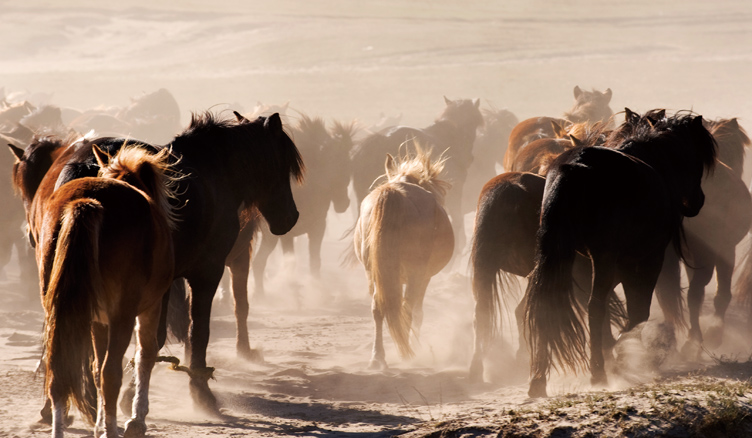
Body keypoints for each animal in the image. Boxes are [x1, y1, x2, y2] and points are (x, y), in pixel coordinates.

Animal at [11, 142, 176, 436]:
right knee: (112, 374)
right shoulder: (148, 308)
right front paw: (136, 419)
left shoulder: (97, 320)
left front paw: (101, 424)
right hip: (123, 315)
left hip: (61, 309)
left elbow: (96, 369)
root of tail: (87, 202)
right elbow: (144, 355)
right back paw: (111, 429)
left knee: (62, 373)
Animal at [356, 145, 456, 370]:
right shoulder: (424, 276)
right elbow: (418, 312)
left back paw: (378, 357)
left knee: (378, 308)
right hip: (415, 273)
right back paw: (408, 354)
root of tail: (393, 193)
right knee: (408, 307)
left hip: (374, 272)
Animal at [524, 109, 716, 396]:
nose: (698, 201)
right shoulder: (647, 258)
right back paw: (598, 371)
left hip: (561, 256)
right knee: (595, 306)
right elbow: (638, 312)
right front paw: (618, 350)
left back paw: (539, 380)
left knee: (548, 303)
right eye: (696, 158)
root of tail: (575, 167)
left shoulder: (613, 263)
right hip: (605, 258)